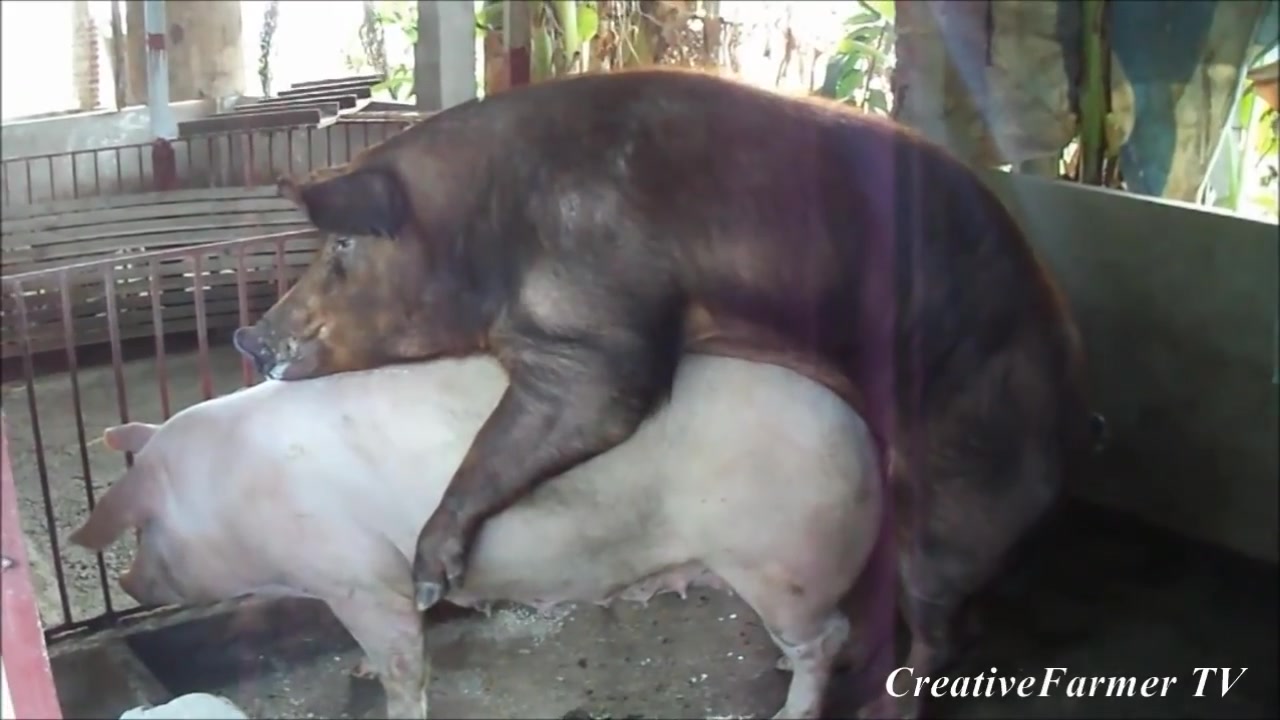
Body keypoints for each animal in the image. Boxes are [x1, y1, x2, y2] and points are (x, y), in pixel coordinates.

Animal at [69, 354, 884, 720]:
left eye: (142, 528)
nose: (128, 583)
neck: (235, 486)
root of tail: (861, 433)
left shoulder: (358, 574)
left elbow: (401, 659)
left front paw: (389, 696)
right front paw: (358, 670)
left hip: (782, 561)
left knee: (828, 638)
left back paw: (788, 709)